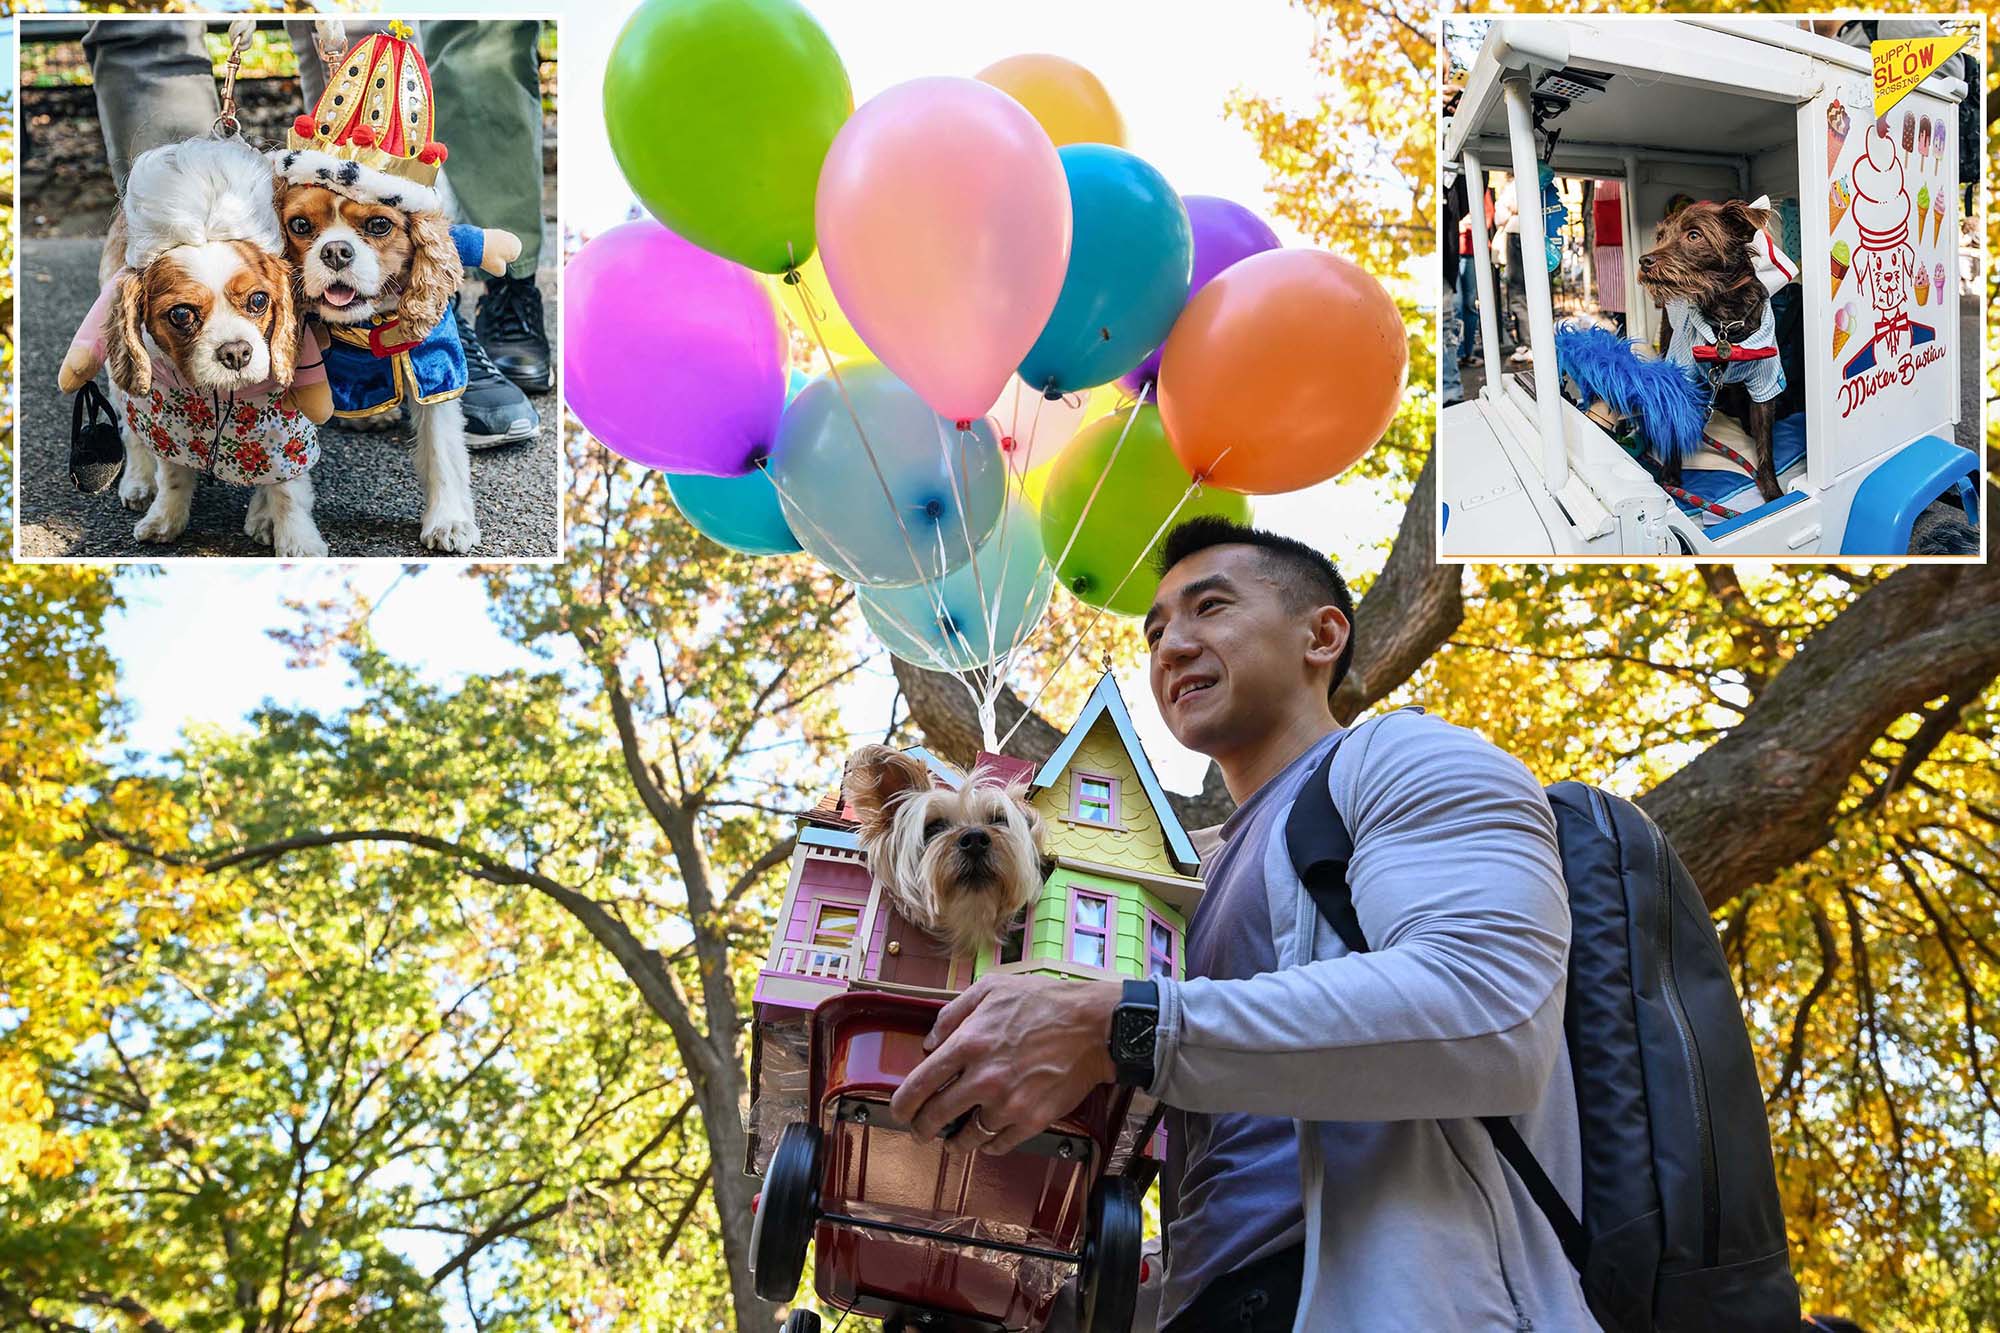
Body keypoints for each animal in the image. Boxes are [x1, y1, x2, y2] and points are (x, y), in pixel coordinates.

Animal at [274, 20, 524, 548]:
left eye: (379, 225)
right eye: (301, 226)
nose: (336, 251)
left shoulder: (435, 363)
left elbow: (444, 450)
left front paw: (449, 521)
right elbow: (284, 472)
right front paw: (284, 529)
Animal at [1640, 198, 1800, 504]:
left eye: (1694, 235)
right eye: (1660, 236)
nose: (1644, 261)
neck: (1727, 318)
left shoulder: (1765, 380)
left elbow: (1766, 442)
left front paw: (1772, 491)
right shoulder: (1683, 374)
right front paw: (1670, 474)